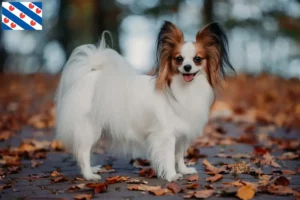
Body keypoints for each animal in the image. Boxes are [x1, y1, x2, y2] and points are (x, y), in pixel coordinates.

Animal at [55, 21, 234, 182]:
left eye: (197, 59)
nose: (187, 67)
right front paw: (172, 176)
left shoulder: (182, 132)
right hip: (89, 128)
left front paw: (184, 170)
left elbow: (179, 154)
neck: (184, 89)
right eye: (179, 59)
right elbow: (169, 156)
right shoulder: (166, 134)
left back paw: (92, 169)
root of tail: (89, 75)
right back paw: (89, 175)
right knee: (82, 152)